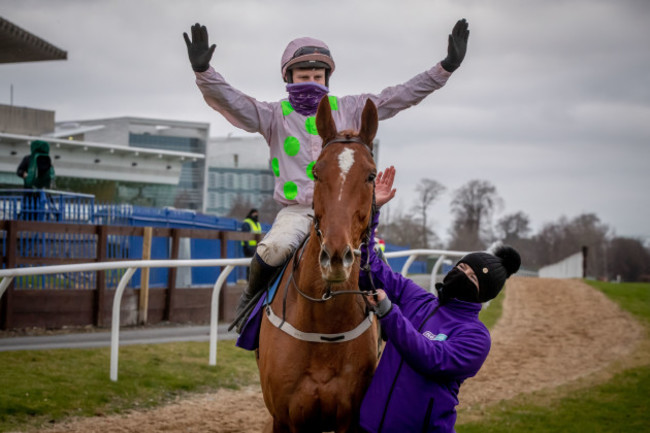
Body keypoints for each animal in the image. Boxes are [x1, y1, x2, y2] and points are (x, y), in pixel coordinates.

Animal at [256, 98, 380, 432]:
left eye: (371, 175)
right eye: (316, 171)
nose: (336, 256)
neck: (324, 323)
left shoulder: (350, 418)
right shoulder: (285, 418)